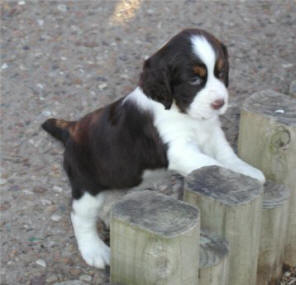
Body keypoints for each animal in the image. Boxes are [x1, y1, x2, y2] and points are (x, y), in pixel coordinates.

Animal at [41, 28, 264, 268]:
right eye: (194, 79)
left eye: (221, 73)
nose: (219, 103)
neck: (182, 111)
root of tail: (72, 129)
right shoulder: (179, 150)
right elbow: (211, 163)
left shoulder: (212, 133)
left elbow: (226, 156)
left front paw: (247, 173)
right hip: (87, 186)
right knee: (79, 216)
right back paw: (95, 251)